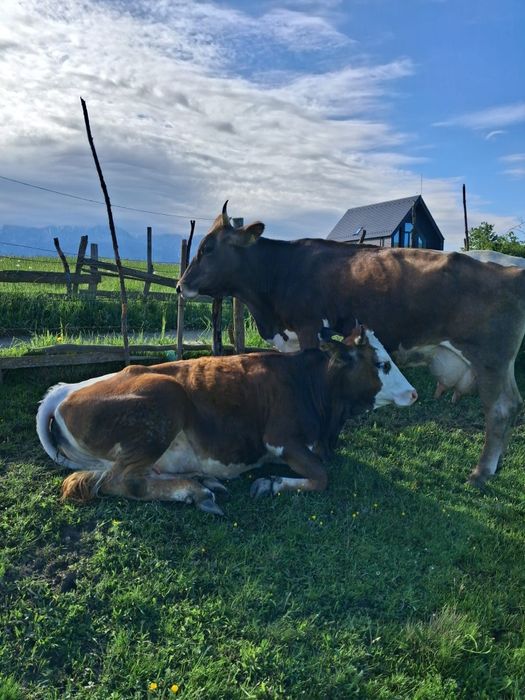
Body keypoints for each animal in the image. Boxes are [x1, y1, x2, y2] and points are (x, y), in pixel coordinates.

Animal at [36, 327, 417, 515]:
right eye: (381, 363)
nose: (414, 394)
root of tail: (66, 389)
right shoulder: (280, 439)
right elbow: (322, 477)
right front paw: (270, 484)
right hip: (166, 399)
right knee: (121, 481)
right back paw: (195, 491)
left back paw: (201, 481)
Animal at [177, 202, 525, 486]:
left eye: (207, 248)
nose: (181, 286)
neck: (281, 272)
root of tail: (513, 268)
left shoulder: (309, 329)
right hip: (501, 364)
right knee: (513, 403)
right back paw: (494, 467)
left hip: (489, 359)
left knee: (500, 408)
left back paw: (480, 473)